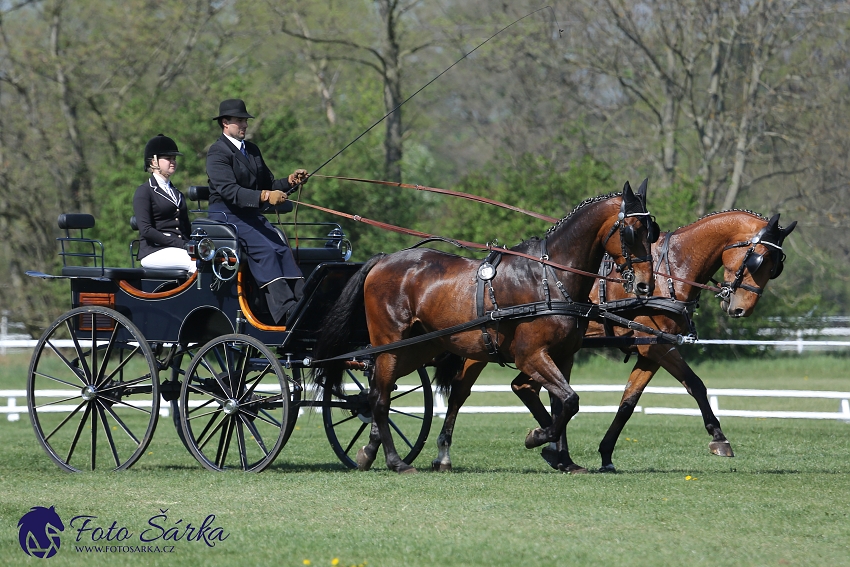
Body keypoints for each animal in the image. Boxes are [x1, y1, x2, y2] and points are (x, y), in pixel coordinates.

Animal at [312, 181, 656, 470]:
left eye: (653, 231)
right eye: (631, 231)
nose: (644, 285)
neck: (550, 279)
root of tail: (382, 260)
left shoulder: (563, 357)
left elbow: (561, 405)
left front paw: (562, 457)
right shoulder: (530, 355)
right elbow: (568, 400)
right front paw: (539, 438)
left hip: (416, 349)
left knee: (379, 391)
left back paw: (370, 451)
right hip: (390, 345)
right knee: (380, 398)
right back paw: (396, 461)